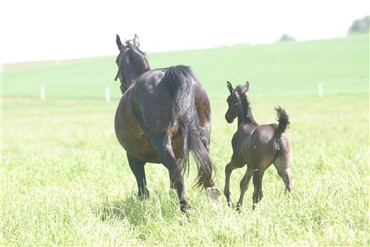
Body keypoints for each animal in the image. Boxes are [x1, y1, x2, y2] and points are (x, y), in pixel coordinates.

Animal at [114, 34, 220, 211]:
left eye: (117, 60)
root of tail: (171, 73)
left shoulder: (133, 157)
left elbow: (142, 185)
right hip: (204, 137)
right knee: (204, 168)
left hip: (162, 142)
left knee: (177, 175)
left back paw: (185, 207)